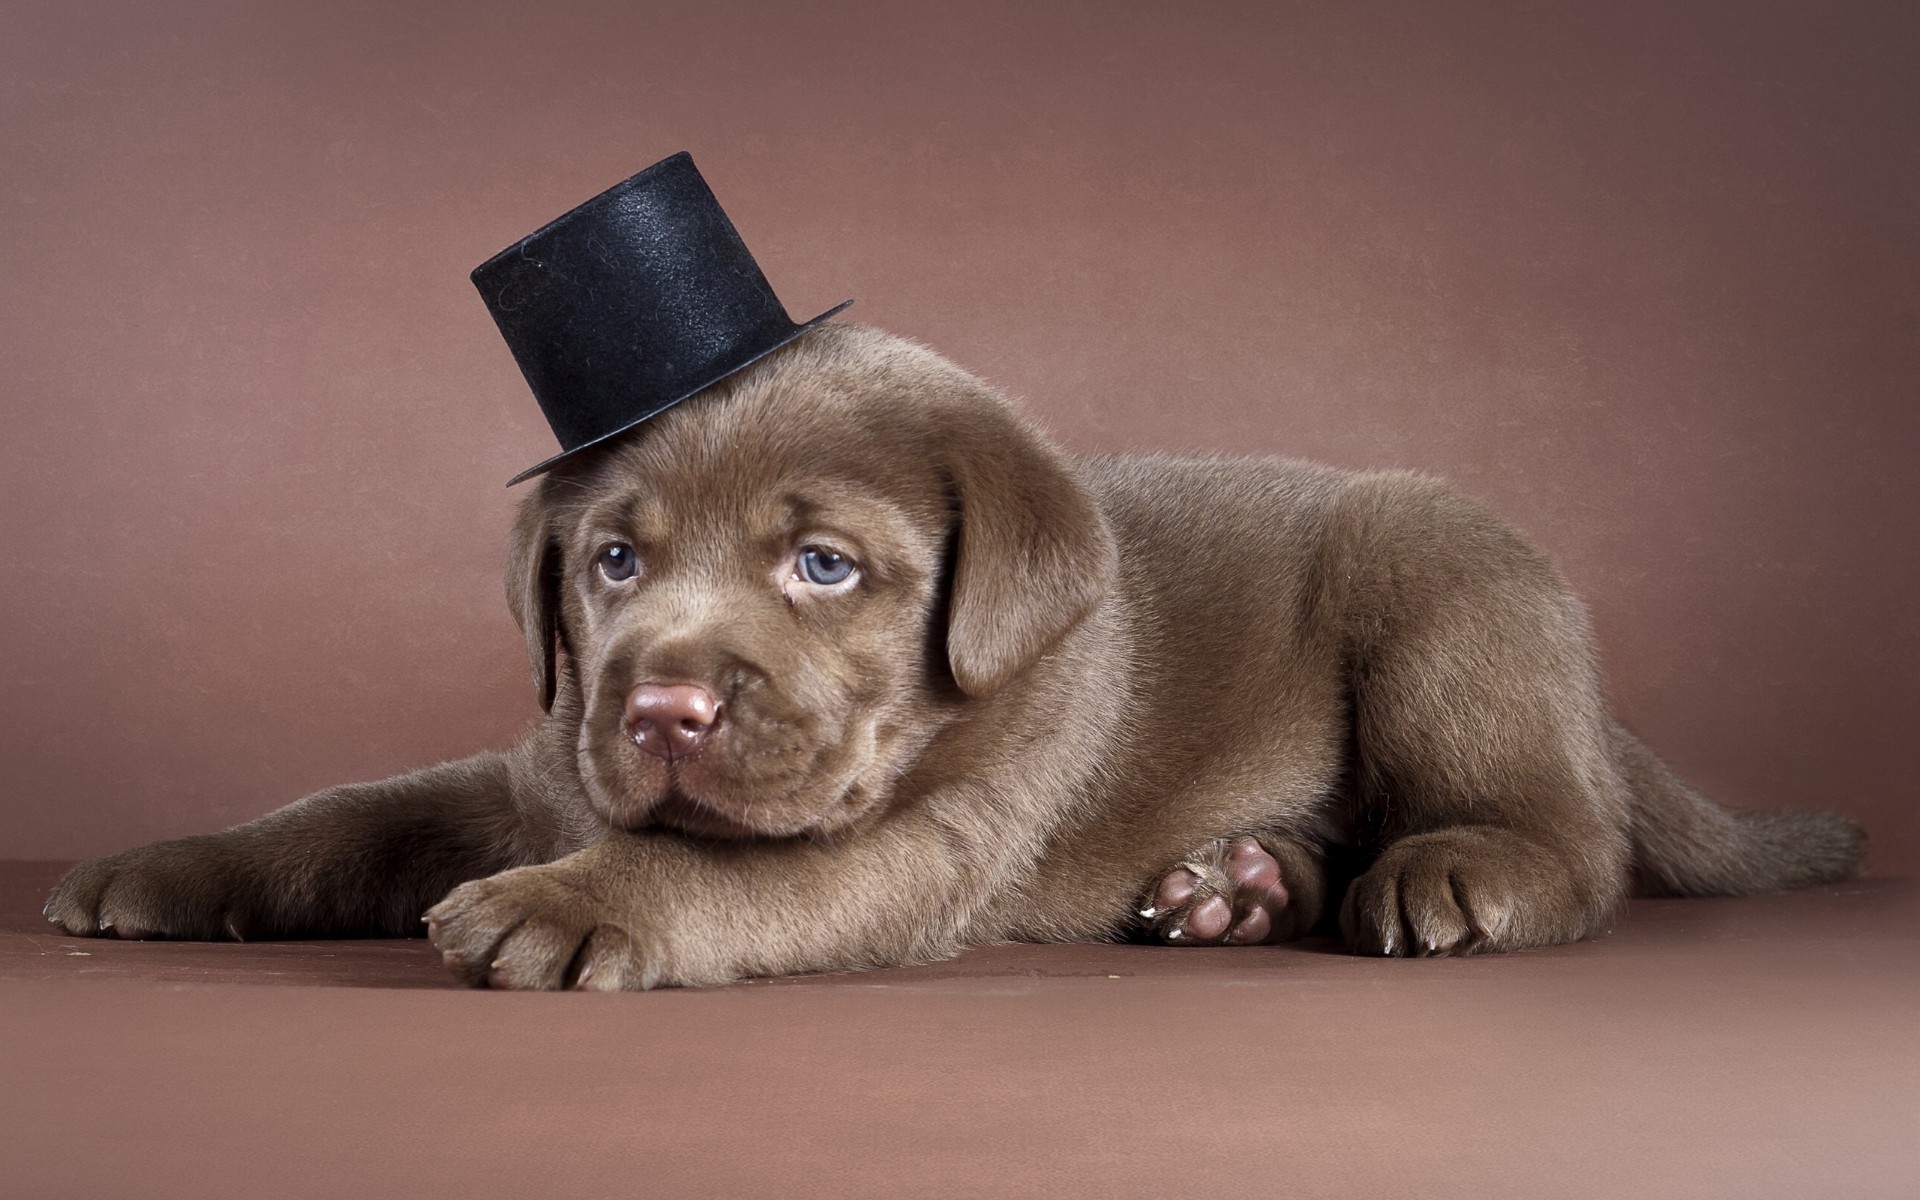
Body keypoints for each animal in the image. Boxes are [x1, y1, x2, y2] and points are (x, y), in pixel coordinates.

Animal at [45, 320, 1858, 983]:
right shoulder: (532, 767)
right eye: (614, 561)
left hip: (1442, 586)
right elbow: (343, 817)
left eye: (824, 565)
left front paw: (563, 909)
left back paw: (1450, 874)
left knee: (1570, 836)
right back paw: (1239, 888)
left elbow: (709, 872)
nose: (669, 700)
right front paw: (159, 867)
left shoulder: (928, 843)